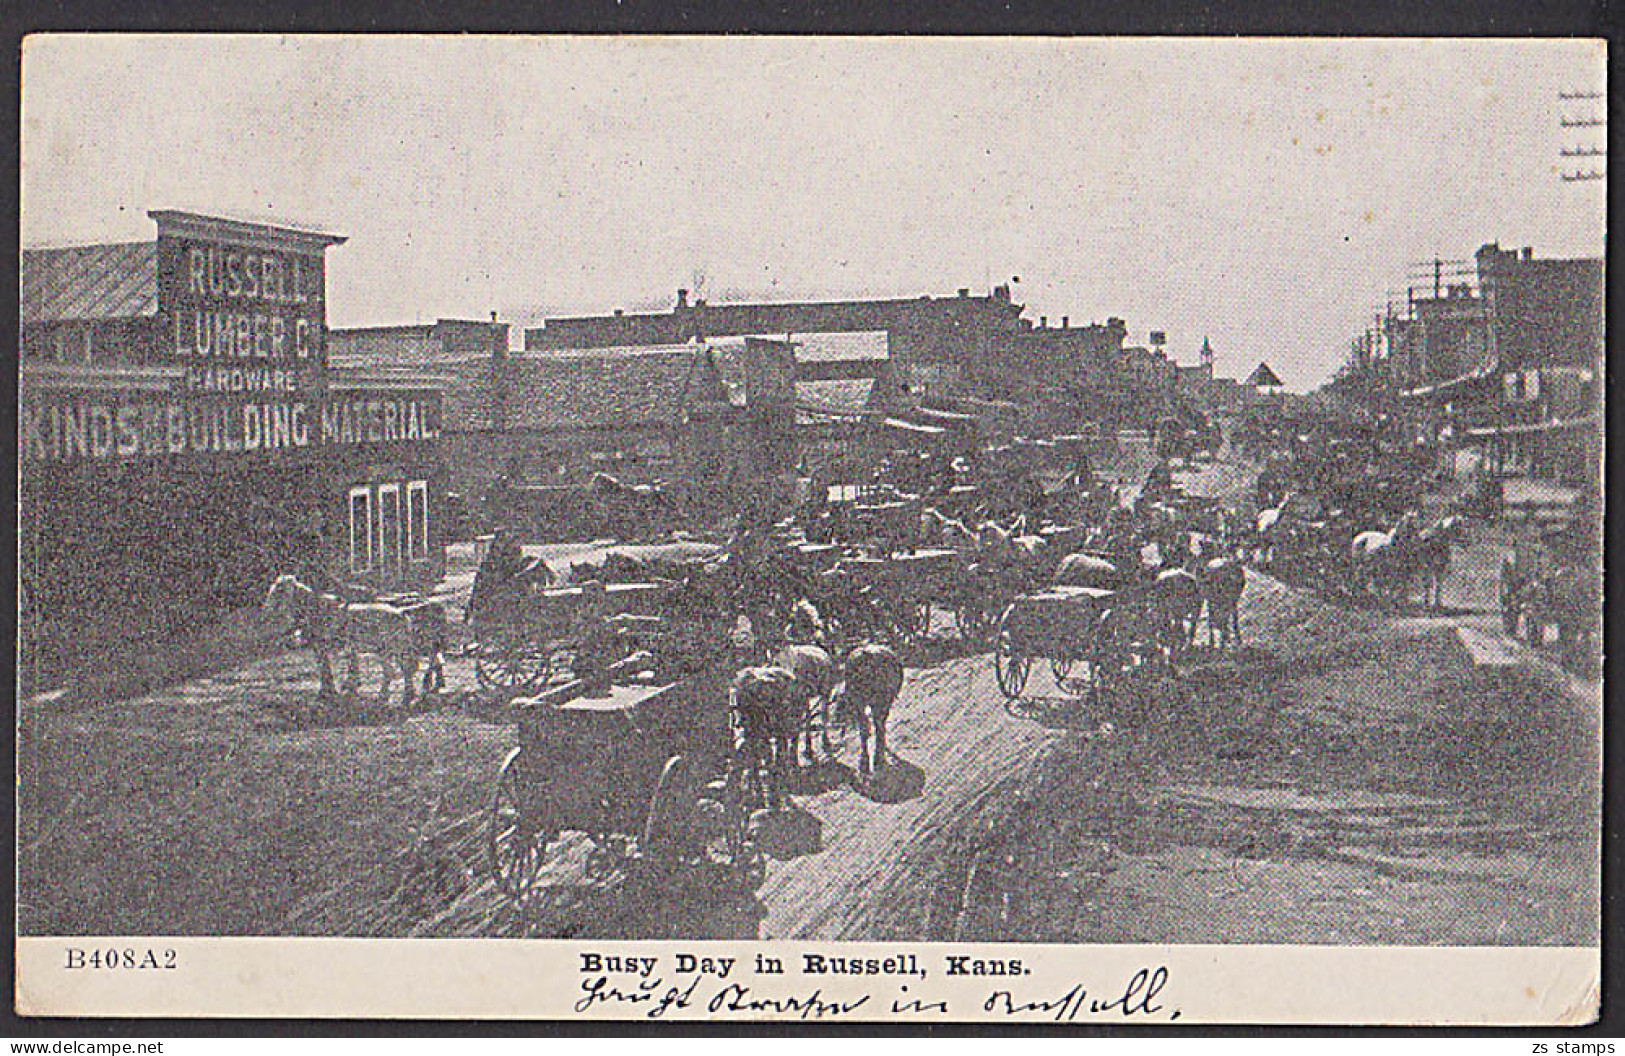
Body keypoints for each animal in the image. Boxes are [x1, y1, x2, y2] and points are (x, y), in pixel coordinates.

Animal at [838, 640, 903, 773]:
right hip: (878, 702)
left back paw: (868, 759)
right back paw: (876, 757)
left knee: (868, 726)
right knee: (877, 725)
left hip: (865, 702)